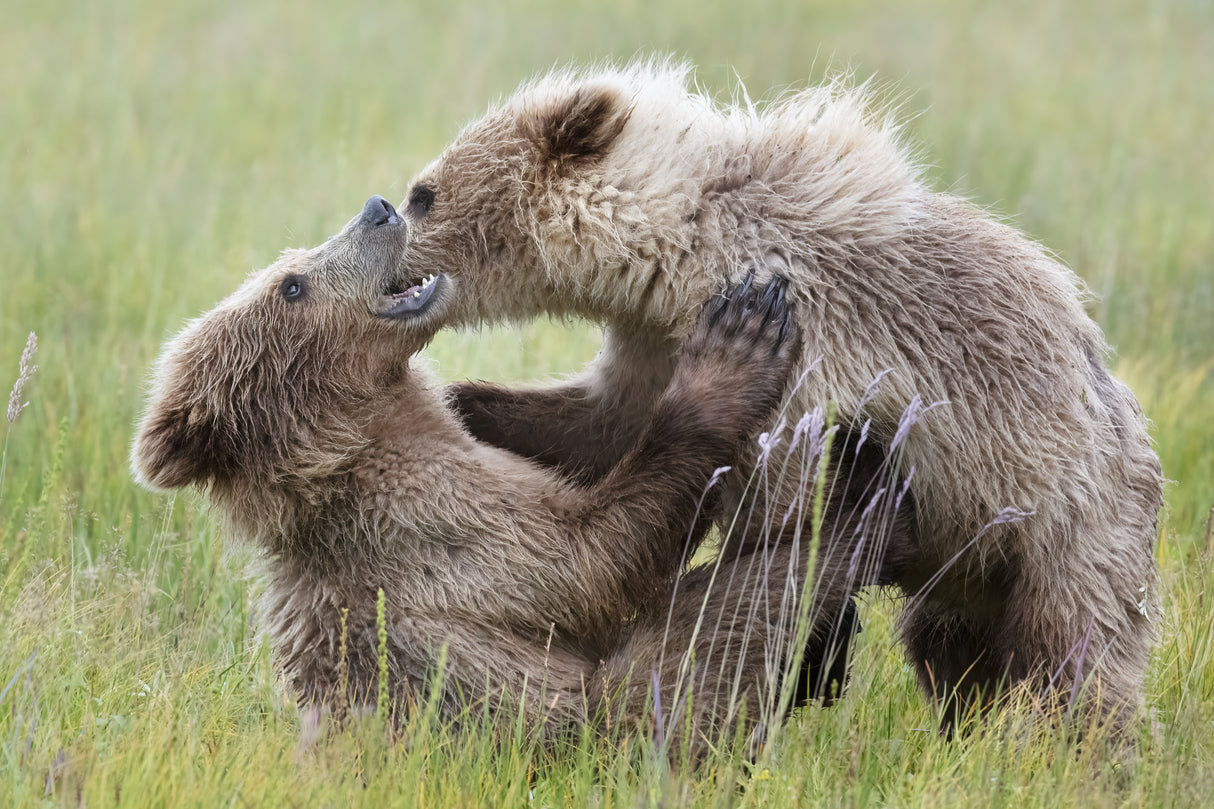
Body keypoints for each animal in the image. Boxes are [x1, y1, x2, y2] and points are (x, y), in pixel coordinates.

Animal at [130, 194, 882, 758]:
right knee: (742, 602)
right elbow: (586, 563)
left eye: (290, 265)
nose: (377, 209)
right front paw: (736, 342)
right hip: (604, 723)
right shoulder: (425, 522)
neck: (359, 438)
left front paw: (479, 401)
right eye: (292, 285)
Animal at [388, 60, 1164, 731]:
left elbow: (774, 508)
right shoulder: (653, 337)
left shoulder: (803, 342)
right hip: (977, 560)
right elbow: (607, 422)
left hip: (1073, 518)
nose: (382, 232)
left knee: (1075, 657)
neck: (676, 254)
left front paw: (804, 653)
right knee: (953, 652)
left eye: (423, 195)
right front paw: (465, 406)